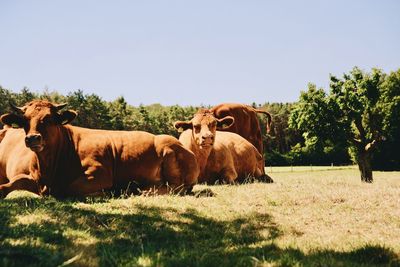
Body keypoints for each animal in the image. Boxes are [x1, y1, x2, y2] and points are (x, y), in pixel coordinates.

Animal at [0, 100, 199, 199]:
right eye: (25, 120)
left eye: (49, 118)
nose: (32, 138)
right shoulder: (34, 178)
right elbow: (11, 184)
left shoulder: (100, 173)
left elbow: (70, 188)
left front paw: (104, 192)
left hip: (169, 151)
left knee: (176, 187)